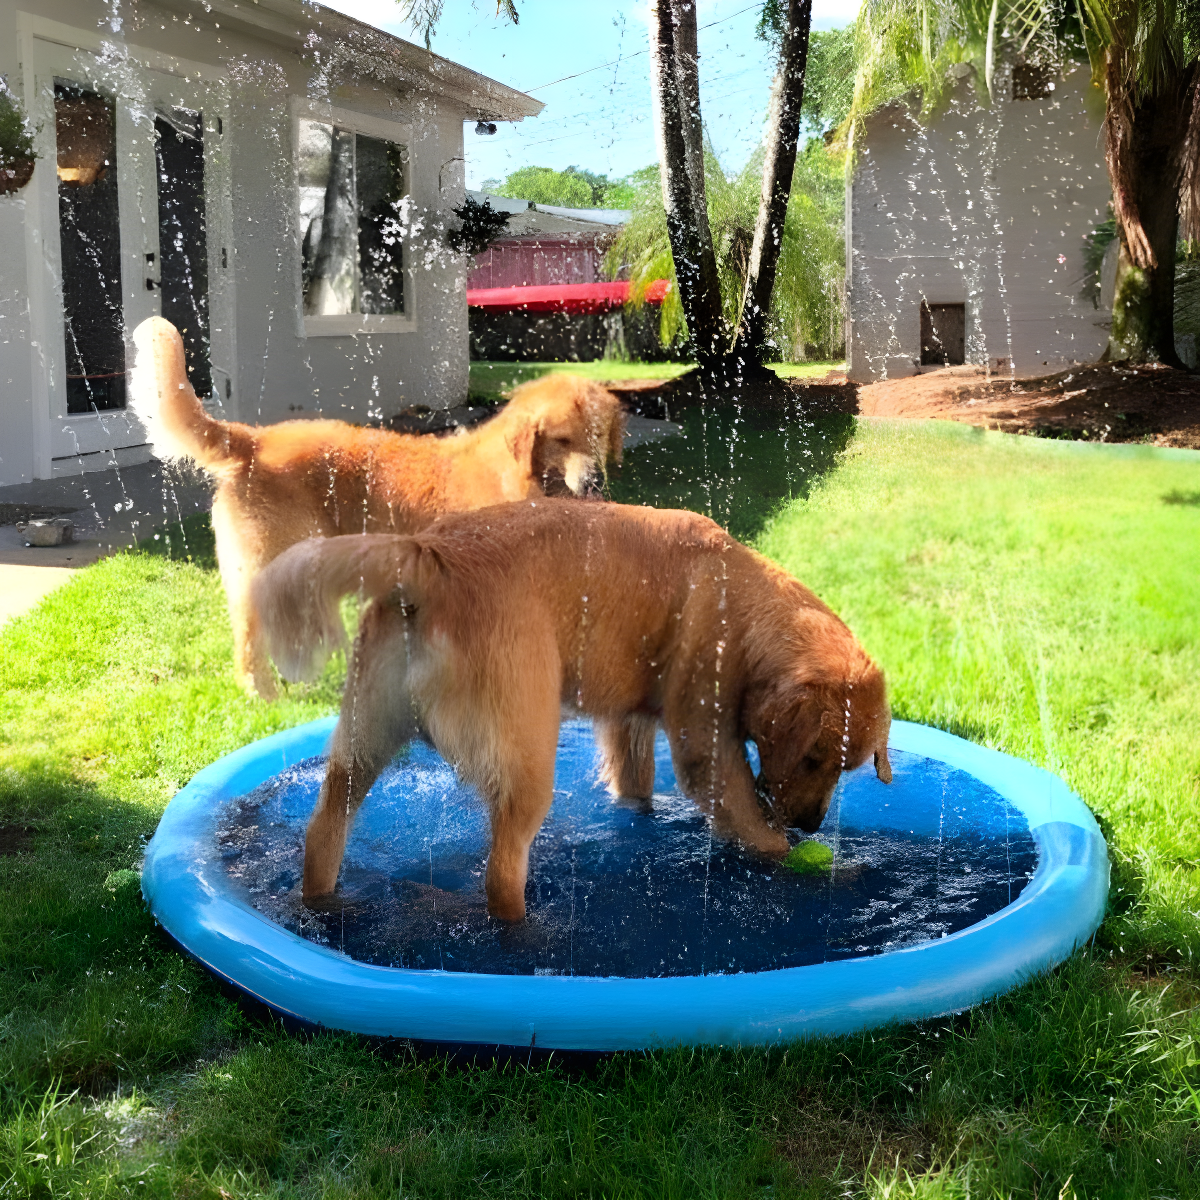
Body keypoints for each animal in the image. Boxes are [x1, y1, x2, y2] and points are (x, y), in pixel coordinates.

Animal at [126, 314, 624, 700]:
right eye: (562, 440)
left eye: (598, 434)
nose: (595, 481)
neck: (519, 474)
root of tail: (255, 439)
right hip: (268, 565)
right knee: (251, 642)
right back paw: (265, 697)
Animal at [250, 496, 892, 916]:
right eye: (814, 759)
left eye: (848, 766)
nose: (812, 825)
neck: (747, 609)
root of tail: (428, 556)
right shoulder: (704, 740)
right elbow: (750, 821)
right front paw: (813, 865)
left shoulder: (629, 723)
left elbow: (634, 783)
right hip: (527, 755)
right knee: (500, 874)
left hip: (364, 736)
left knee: (323, 830)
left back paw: (322, 904)